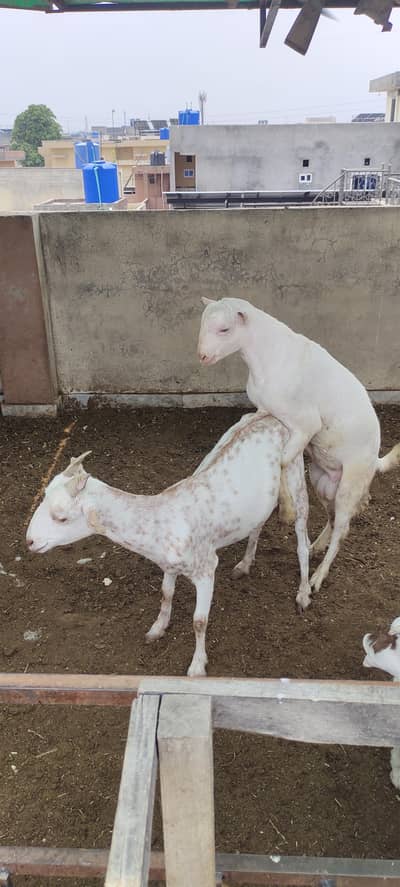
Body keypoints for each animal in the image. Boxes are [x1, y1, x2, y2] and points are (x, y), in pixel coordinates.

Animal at [26, 412, 310, 677]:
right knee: (258, 523)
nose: (30, 541)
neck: (161, 522)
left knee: (302, 540)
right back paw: (244, 565)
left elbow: (199, 621)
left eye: (61, 517)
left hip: (296, 475)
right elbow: (166, 593)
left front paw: (197, 666)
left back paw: (304, 593)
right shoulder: (168, 564)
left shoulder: (206, 567)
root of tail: (271, 416)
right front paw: (157, 629)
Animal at [197, 296, 400, 596]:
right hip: (322, 481)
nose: (202, 356)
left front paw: (286, 509)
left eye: (224, 329)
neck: (265, 358)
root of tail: (375, 460)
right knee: (335, 520)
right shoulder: (267, 412)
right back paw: (316, 547)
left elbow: (282, 461)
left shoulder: (306, 424)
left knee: (342, 529)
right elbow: (263, 443)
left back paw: (317, 576)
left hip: (351, 482)